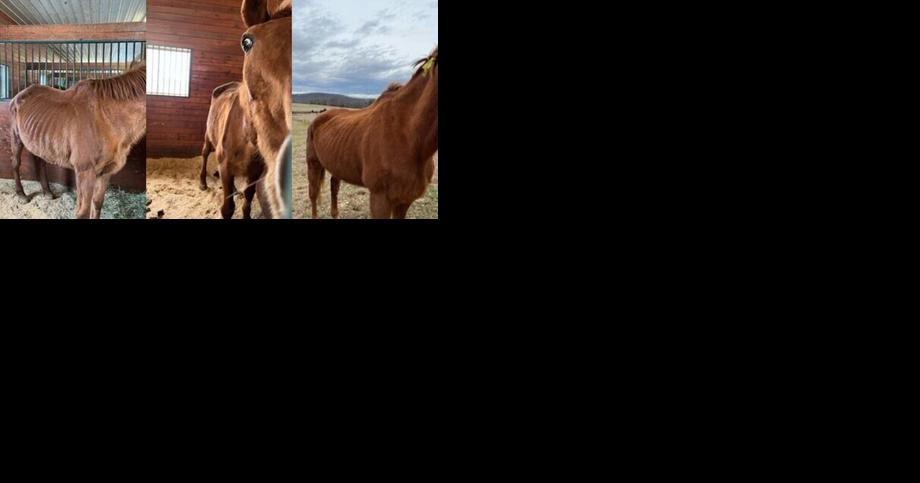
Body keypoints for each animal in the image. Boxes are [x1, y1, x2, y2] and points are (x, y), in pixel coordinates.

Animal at [8, 62, 146, 219]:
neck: (105, 117)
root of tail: (19, 95)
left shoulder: (106, 172)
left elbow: (97, 204)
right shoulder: (85, 171)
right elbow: (83, 212)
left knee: (40, 162)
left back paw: (47, 192)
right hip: (16, 138)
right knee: (15, 163)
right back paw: (21, 195)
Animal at [199, 81, 264, 219]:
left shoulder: (255, 171)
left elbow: (249, 196)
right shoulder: (224, 166)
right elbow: (228, 208)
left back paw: (234, 190)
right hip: (208, 134)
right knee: (205, 153)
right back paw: (202, 182)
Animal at [306, 47, 438, 219]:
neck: (407, 135)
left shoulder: (404, 201)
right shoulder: (379, 198)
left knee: (334, 186)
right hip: (313, 163)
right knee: (313, 194)